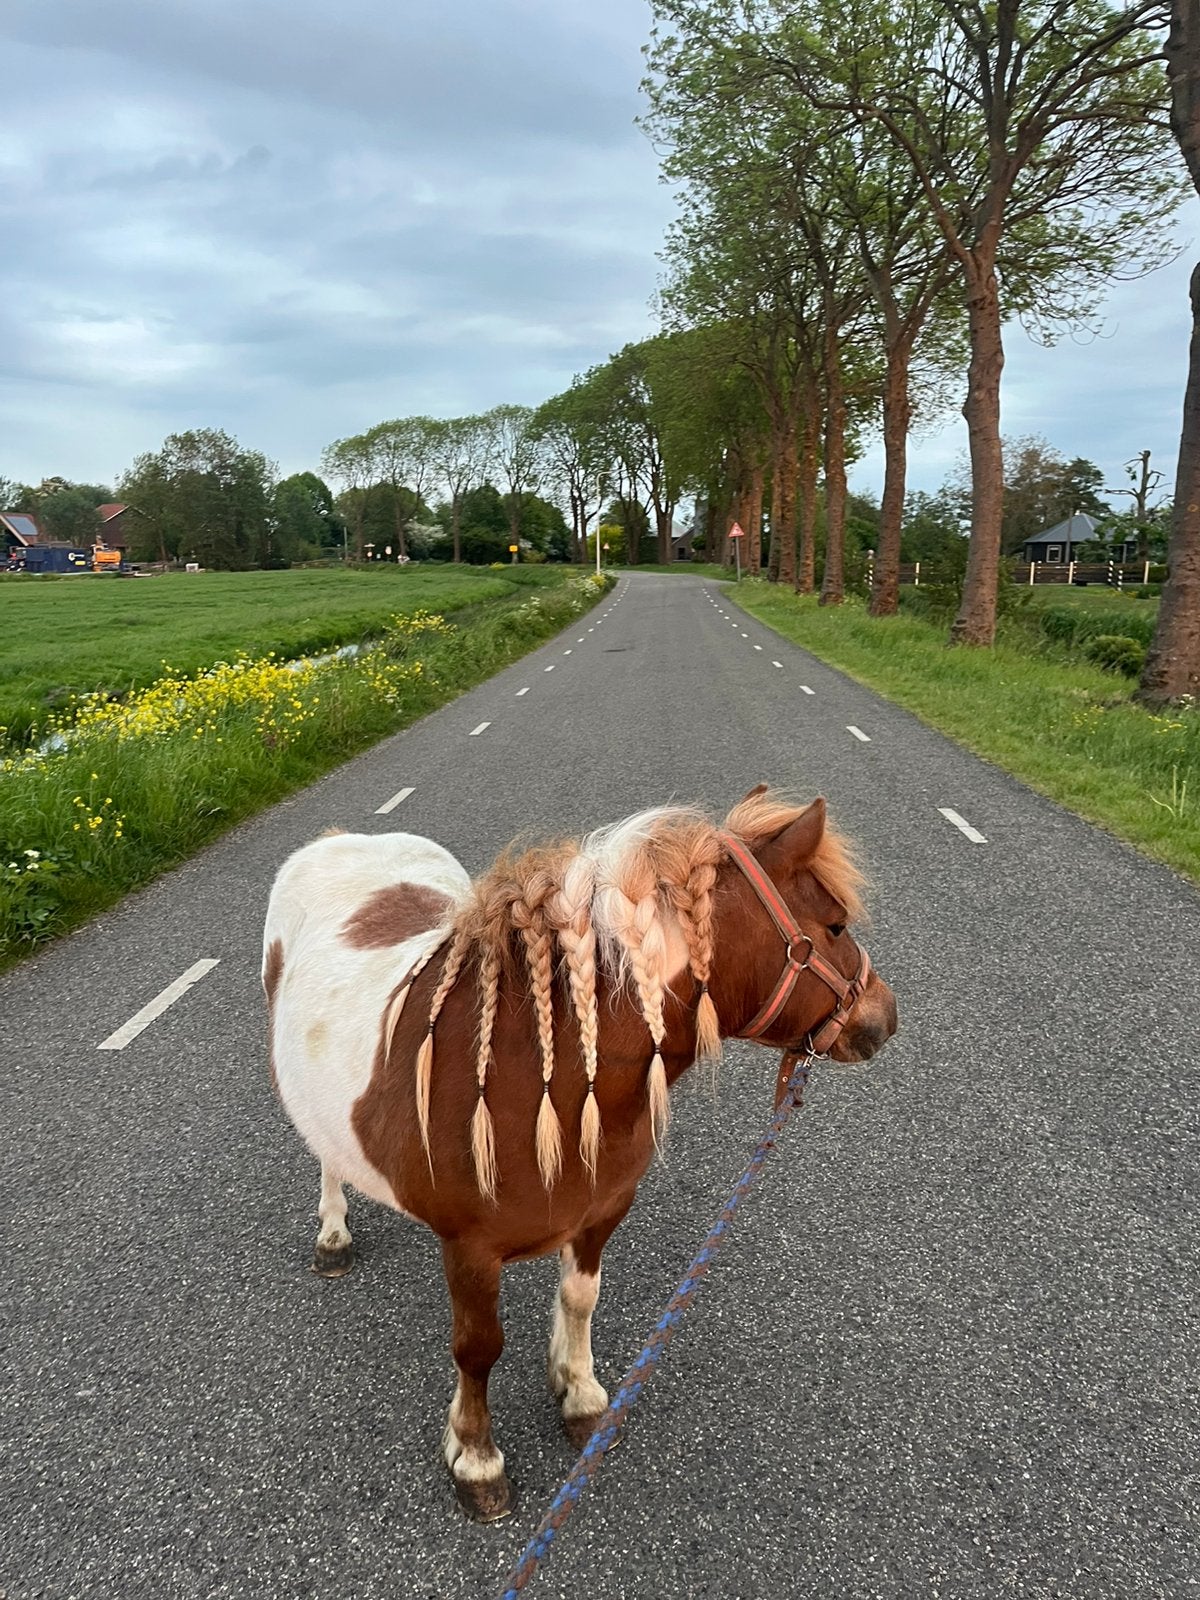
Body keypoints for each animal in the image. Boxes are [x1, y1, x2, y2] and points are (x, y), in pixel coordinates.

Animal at [263, 786, 897, 1521]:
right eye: (835, 925)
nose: (884, 1017)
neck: (536, 1073)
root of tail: (342, 839)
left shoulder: (598, 1215)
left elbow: (580, 1300)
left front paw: (581, 1396)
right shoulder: (470, 1251)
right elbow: (478, 1350)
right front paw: (475, 1457)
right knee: (327, 1156)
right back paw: (333, 1234)